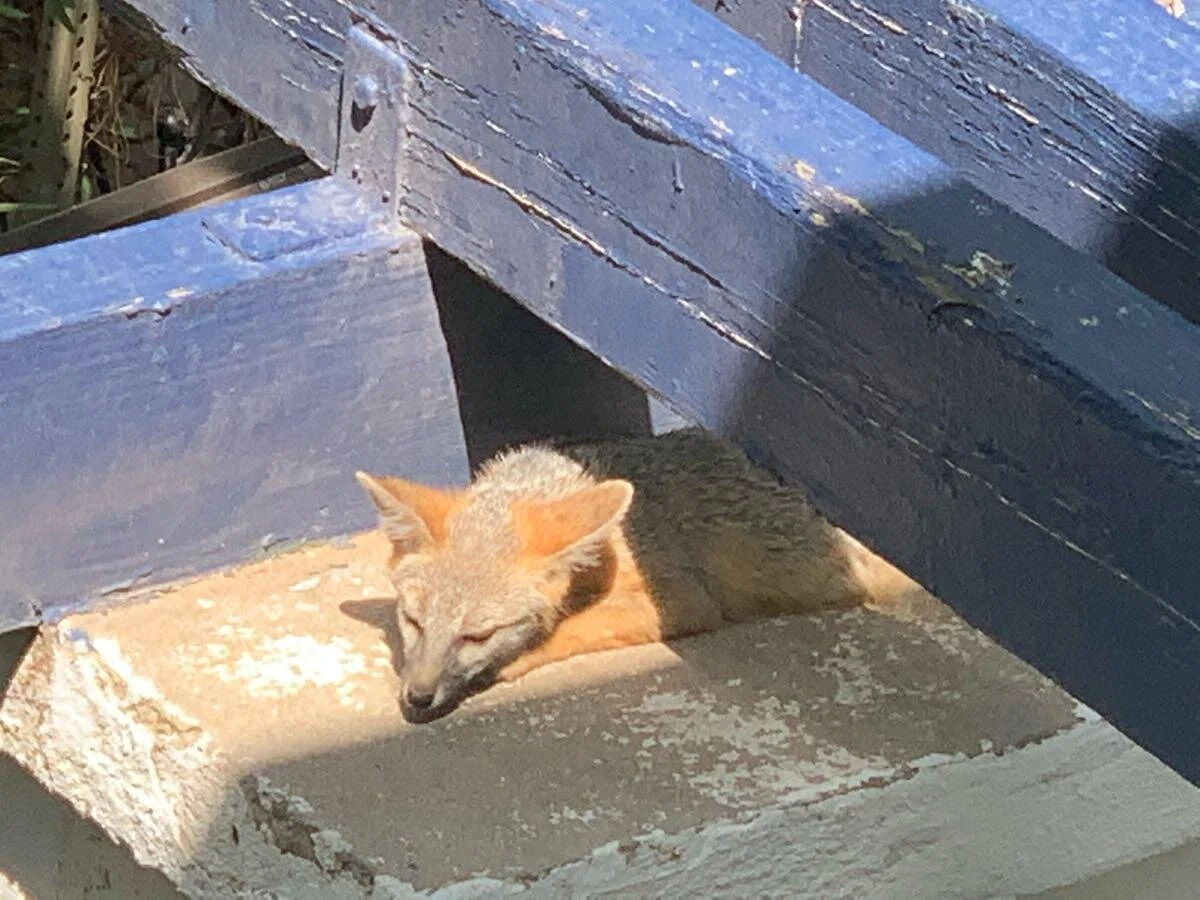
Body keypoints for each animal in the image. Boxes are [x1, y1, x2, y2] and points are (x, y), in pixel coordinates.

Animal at [354, 427, 923, 723]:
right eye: (413, 622)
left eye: (478, 635)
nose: (417, 697)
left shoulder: (683, 596)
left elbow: (577, 625)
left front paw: (515, 659)